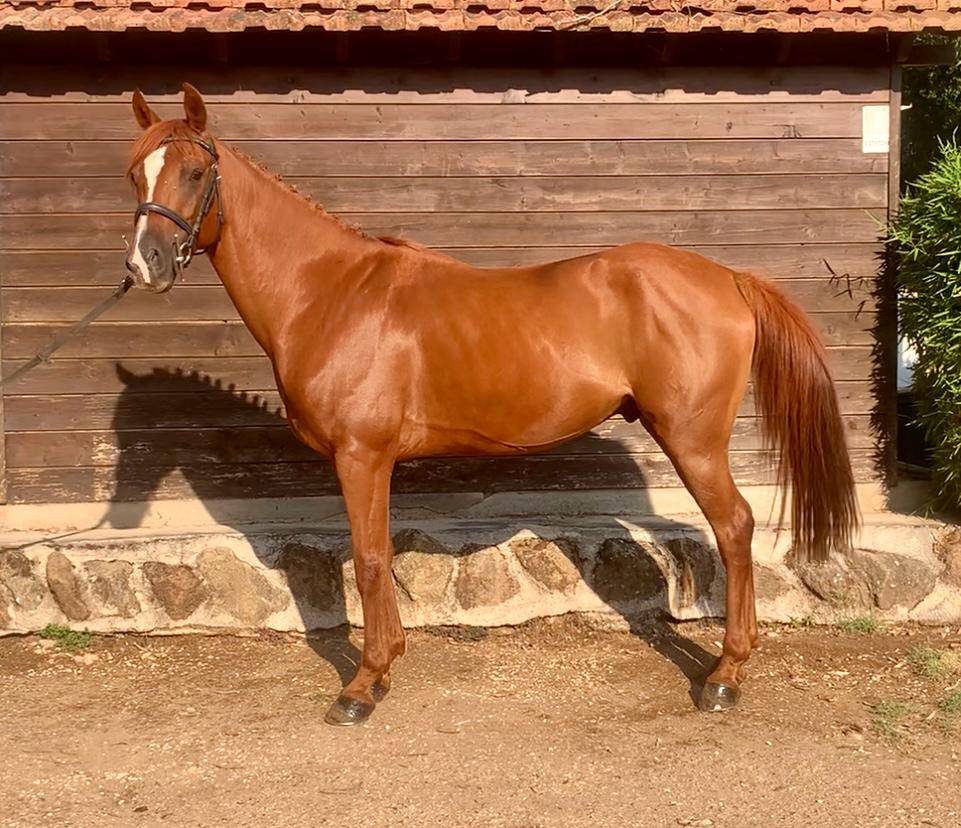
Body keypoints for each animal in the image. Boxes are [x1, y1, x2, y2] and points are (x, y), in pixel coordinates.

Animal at [124, 83, 858, 726]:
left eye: (194, 172)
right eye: (135, 175)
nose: (144, 265)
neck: (329, 292)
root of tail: (729, 278)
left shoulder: (362, 456)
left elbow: (368, 560)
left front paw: (361, 686)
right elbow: (377, 554)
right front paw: (385, 667)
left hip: (693, 442)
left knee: (734, 528)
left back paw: (724, 678)